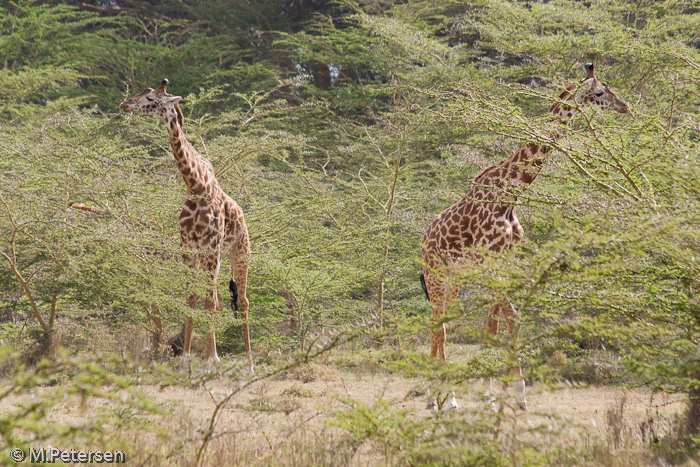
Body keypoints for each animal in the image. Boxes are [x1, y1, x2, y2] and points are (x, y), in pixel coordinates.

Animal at [119, 80, 253, 372]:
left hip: (239, 252)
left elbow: (207, 302)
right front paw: (185, 360)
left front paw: (209, 361)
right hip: (215, 258)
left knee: (242, 300)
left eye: (150, 98)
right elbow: (191, 300)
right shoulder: (189, 249)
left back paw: (249, 361)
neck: (195, 186)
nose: (124, 104)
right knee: (220, 299)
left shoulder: (211, 249)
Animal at [418, 64, 632, 412]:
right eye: (600, 92)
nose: (625, 106)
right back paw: (444, 399)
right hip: (437, 275)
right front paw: (496, 396)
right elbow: (501, 321)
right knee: (439, 326)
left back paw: (434, 395)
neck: (510, 194)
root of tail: (423, 241)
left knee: (442, 323)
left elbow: (503, 322)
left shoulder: (506, 260)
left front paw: (510, 395)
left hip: (456, 280)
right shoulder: (491, 261)